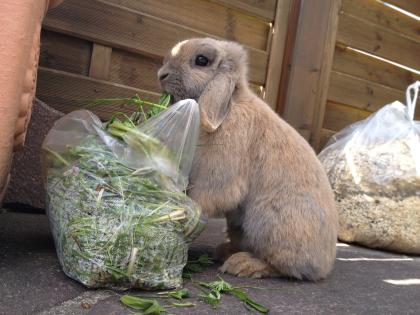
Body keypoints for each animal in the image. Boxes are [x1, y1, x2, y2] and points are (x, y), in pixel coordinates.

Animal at [158, 37, 338, 282]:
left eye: (201, 60)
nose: (161, 75)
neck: (230, 105)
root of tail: (324, 265)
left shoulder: (217, 176)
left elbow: (205, 199)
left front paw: (186, 219)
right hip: (238, 225)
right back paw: (225, 251)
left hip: (268, 222)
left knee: (282, 266)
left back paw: (242, 265)